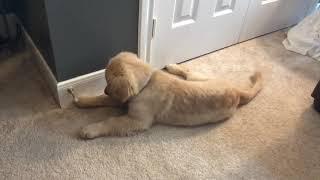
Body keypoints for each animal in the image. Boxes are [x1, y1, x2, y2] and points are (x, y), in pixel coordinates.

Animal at [70, 52, 262, 139]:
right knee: (187, 71)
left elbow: (111, 121)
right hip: (198, 78)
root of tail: (236, 90)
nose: (105, 90)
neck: (147, 83)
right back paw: (172, 66)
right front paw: (82, 100)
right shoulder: (125, 101)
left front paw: (90, 129)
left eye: (108, 81)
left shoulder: (137, 120)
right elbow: (102, 100)